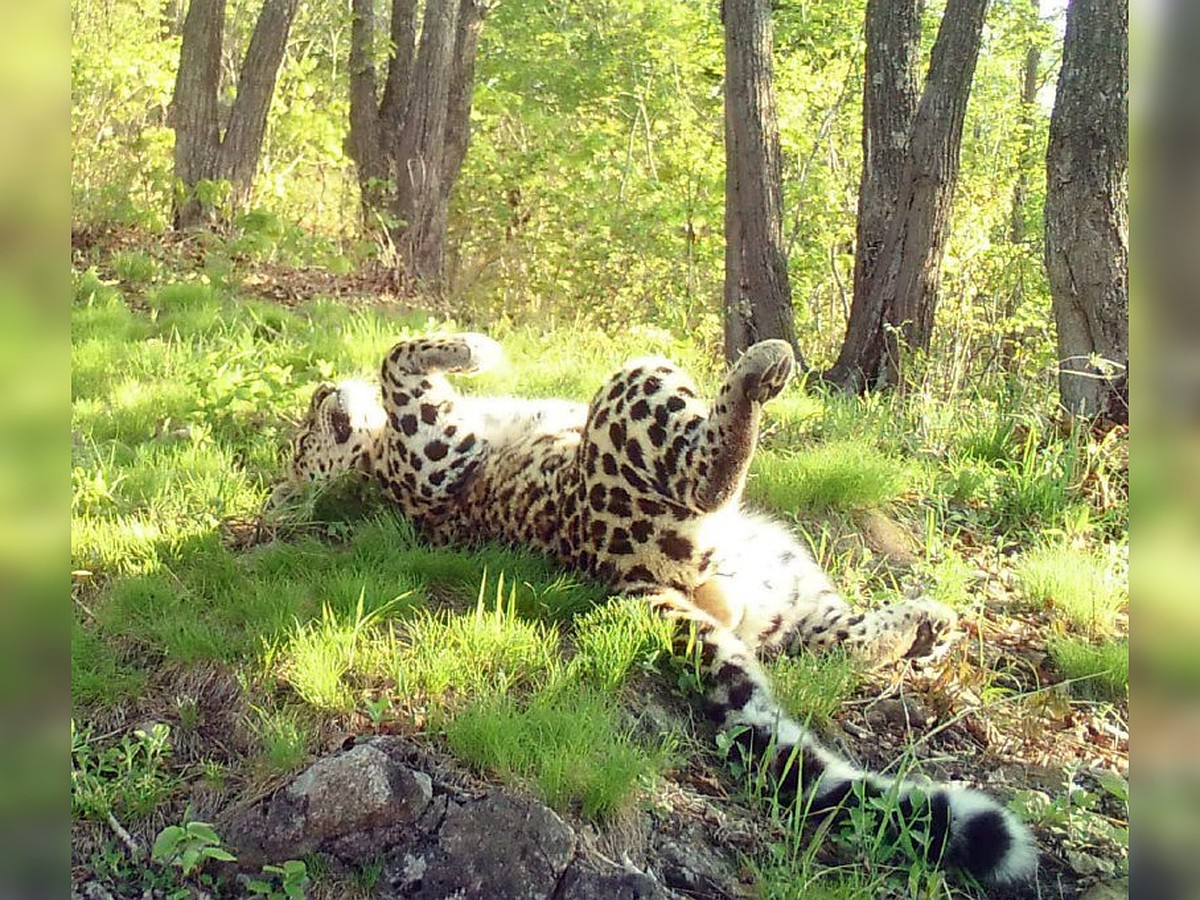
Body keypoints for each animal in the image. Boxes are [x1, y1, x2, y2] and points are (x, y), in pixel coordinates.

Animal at [285, 331, 1036, 888]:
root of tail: (625, 577)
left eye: (300, 434)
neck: (379, 464)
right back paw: (760, 371)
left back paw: (925, 628)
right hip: (637, 387)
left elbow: (394, 362)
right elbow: (397, 358)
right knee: (707, 473)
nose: (323, 393)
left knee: (837, 642)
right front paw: (476, 348)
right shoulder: (438, 454)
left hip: (788, 589)